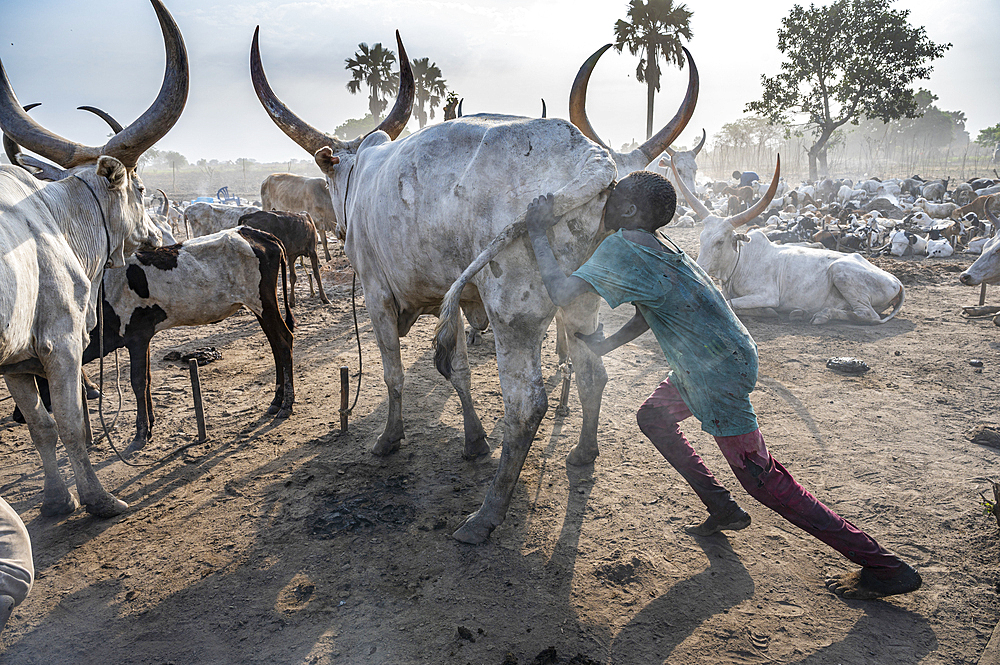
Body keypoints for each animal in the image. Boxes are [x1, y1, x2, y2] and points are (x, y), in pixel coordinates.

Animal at [0, 0, 186, 516]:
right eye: (139, 188)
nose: (159, 237)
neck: (54, 219)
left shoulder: (18, 362)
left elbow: (44, 428)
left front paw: (57, 501)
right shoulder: (58, 345)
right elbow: (70, 427)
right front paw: (97, 501)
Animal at [252, 32, 696, 540]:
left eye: (328, 181)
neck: (365, 171)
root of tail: (596, 161)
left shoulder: (377, 295)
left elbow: (393, 374)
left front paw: (389, 439)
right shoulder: (457, 297)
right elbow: (458, 371)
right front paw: (474, 440)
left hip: (511, 313)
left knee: (526, 406)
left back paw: (486, 516)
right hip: (582, 300)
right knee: (592, 371)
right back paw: (583, 453)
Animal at [676, 154, 904, 322]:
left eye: (720, 242)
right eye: (701, 239)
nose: (699, 269)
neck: (739, 262)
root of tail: (897, 282)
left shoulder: (767, 294)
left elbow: (730, 303)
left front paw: (768, 311)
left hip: (841, 271)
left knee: (868, 315)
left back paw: (822, 315)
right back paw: (802, 312)